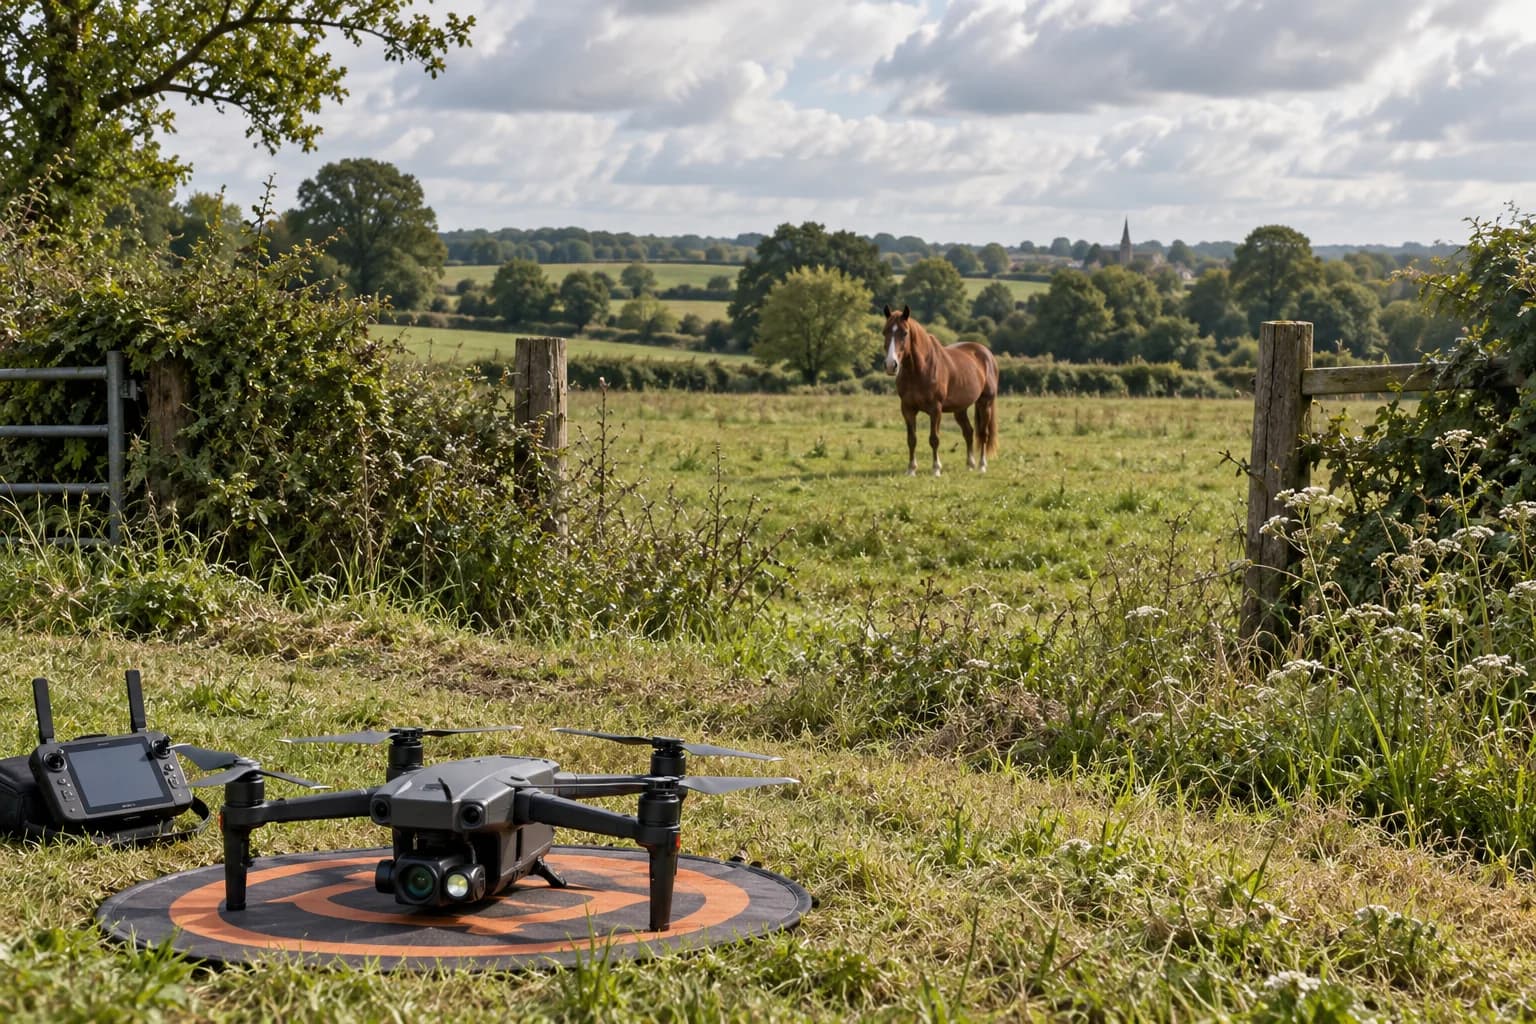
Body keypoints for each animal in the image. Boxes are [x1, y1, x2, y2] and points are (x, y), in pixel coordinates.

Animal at [882, 304, 998, 476]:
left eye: (904, 333)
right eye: (885, 332)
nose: (891, 365)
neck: (919, 370)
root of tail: (987, 354)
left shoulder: (935, 409)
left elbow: (934, 439)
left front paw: (936, 469)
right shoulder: (907, 409)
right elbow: (911, 439)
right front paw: (911, 469)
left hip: (985, 403)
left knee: (983, 434)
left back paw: (982, 466)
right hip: (960, 409)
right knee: (969, 432)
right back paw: (970, 464)